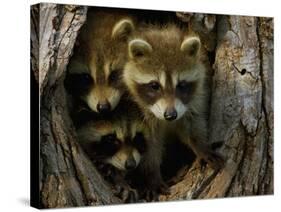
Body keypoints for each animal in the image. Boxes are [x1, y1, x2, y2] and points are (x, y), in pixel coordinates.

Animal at [122, 24, 223, 194]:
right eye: (154, 85)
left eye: (181, 85)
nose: (170, 115)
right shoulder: (141, 112)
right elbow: (149, 144)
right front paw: (152, 175)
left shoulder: (196, 97)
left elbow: (193, 124)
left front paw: (201, 146)